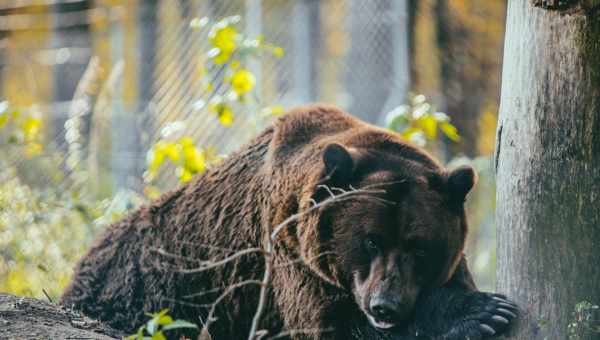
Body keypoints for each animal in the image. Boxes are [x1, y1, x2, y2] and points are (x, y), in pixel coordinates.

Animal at [63, 105, 516, 338]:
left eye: (419, 247)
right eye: (370, 240)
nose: (384, 305)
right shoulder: (289, 258)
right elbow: (332, 328)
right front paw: (480, 312)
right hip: (148, 293)